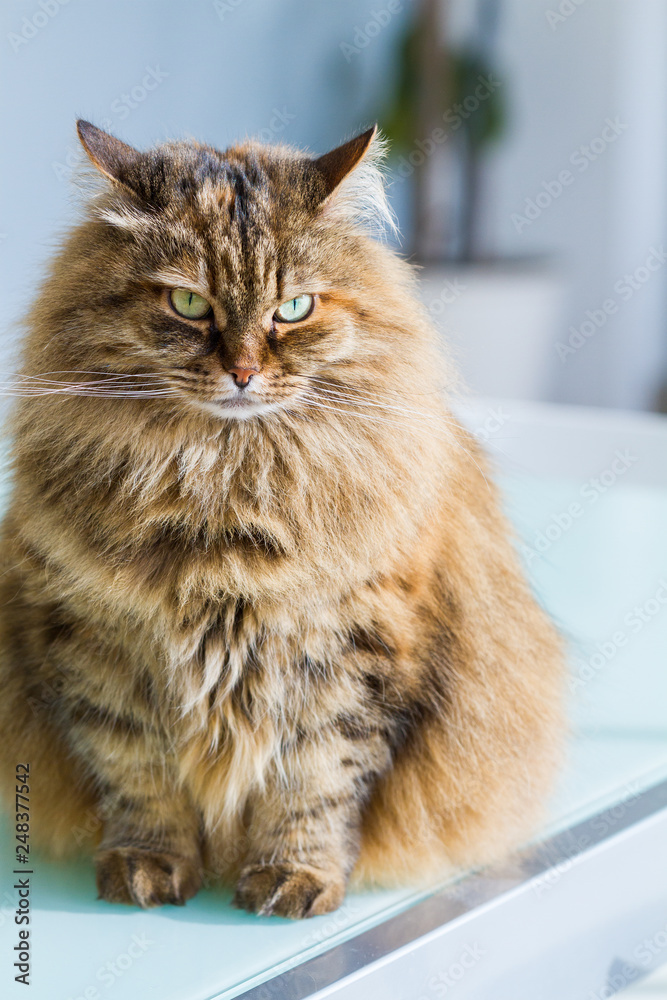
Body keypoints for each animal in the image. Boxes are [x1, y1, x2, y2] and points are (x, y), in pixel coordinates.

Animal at [0, 121, 568, 916]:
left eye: (293, 309)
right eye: (188, 302)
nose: (242, 371)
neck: (225, 493)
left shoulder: (354, 654)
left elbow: (315, 780)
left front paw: (293, 878)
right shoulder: (95, 648)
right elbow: (137, 774)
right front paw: (147, 867)